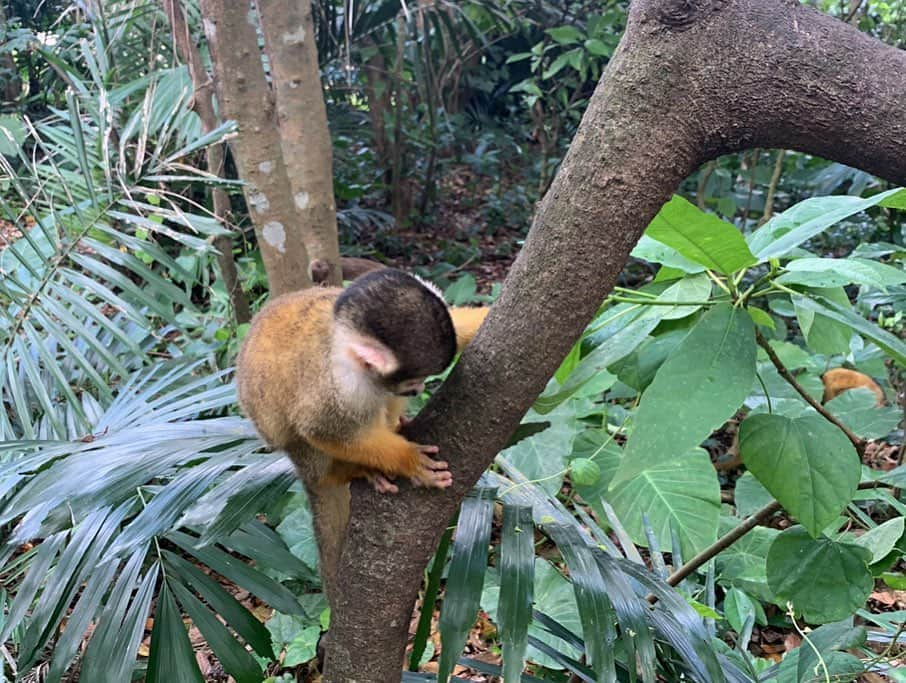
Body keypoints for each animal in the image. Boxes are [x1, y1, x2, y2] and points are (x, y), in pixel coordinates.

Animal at [233, 268, 488, 608]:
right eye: (413, 379)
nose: (418, 390)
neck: (340, 340)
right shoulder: (339, 386)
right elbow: (323, 430)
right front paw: (407, 460)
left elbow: (457, 326)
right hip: (289, 444)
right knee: (307, 437)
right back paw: (345, 471)